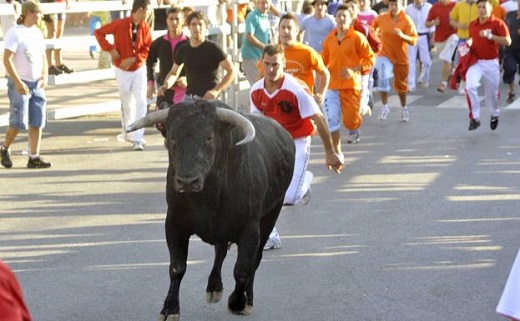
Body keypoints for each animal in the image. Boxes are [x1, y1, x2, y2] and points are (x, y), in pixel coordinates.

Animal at [126, 99, 294, 318]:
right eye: (173, 137)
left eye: (209, 138)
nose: (187, 181)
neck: (208, 196)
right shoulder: (174, 224)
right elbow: (177, 267)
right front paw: (170, 308)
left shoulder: (250, 229)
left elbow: (243, 269)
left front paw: (237, 302)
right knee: (220, 252)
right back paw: (214, 287)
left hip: (271, 215)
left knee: (255, 260)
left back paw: (248, 299)